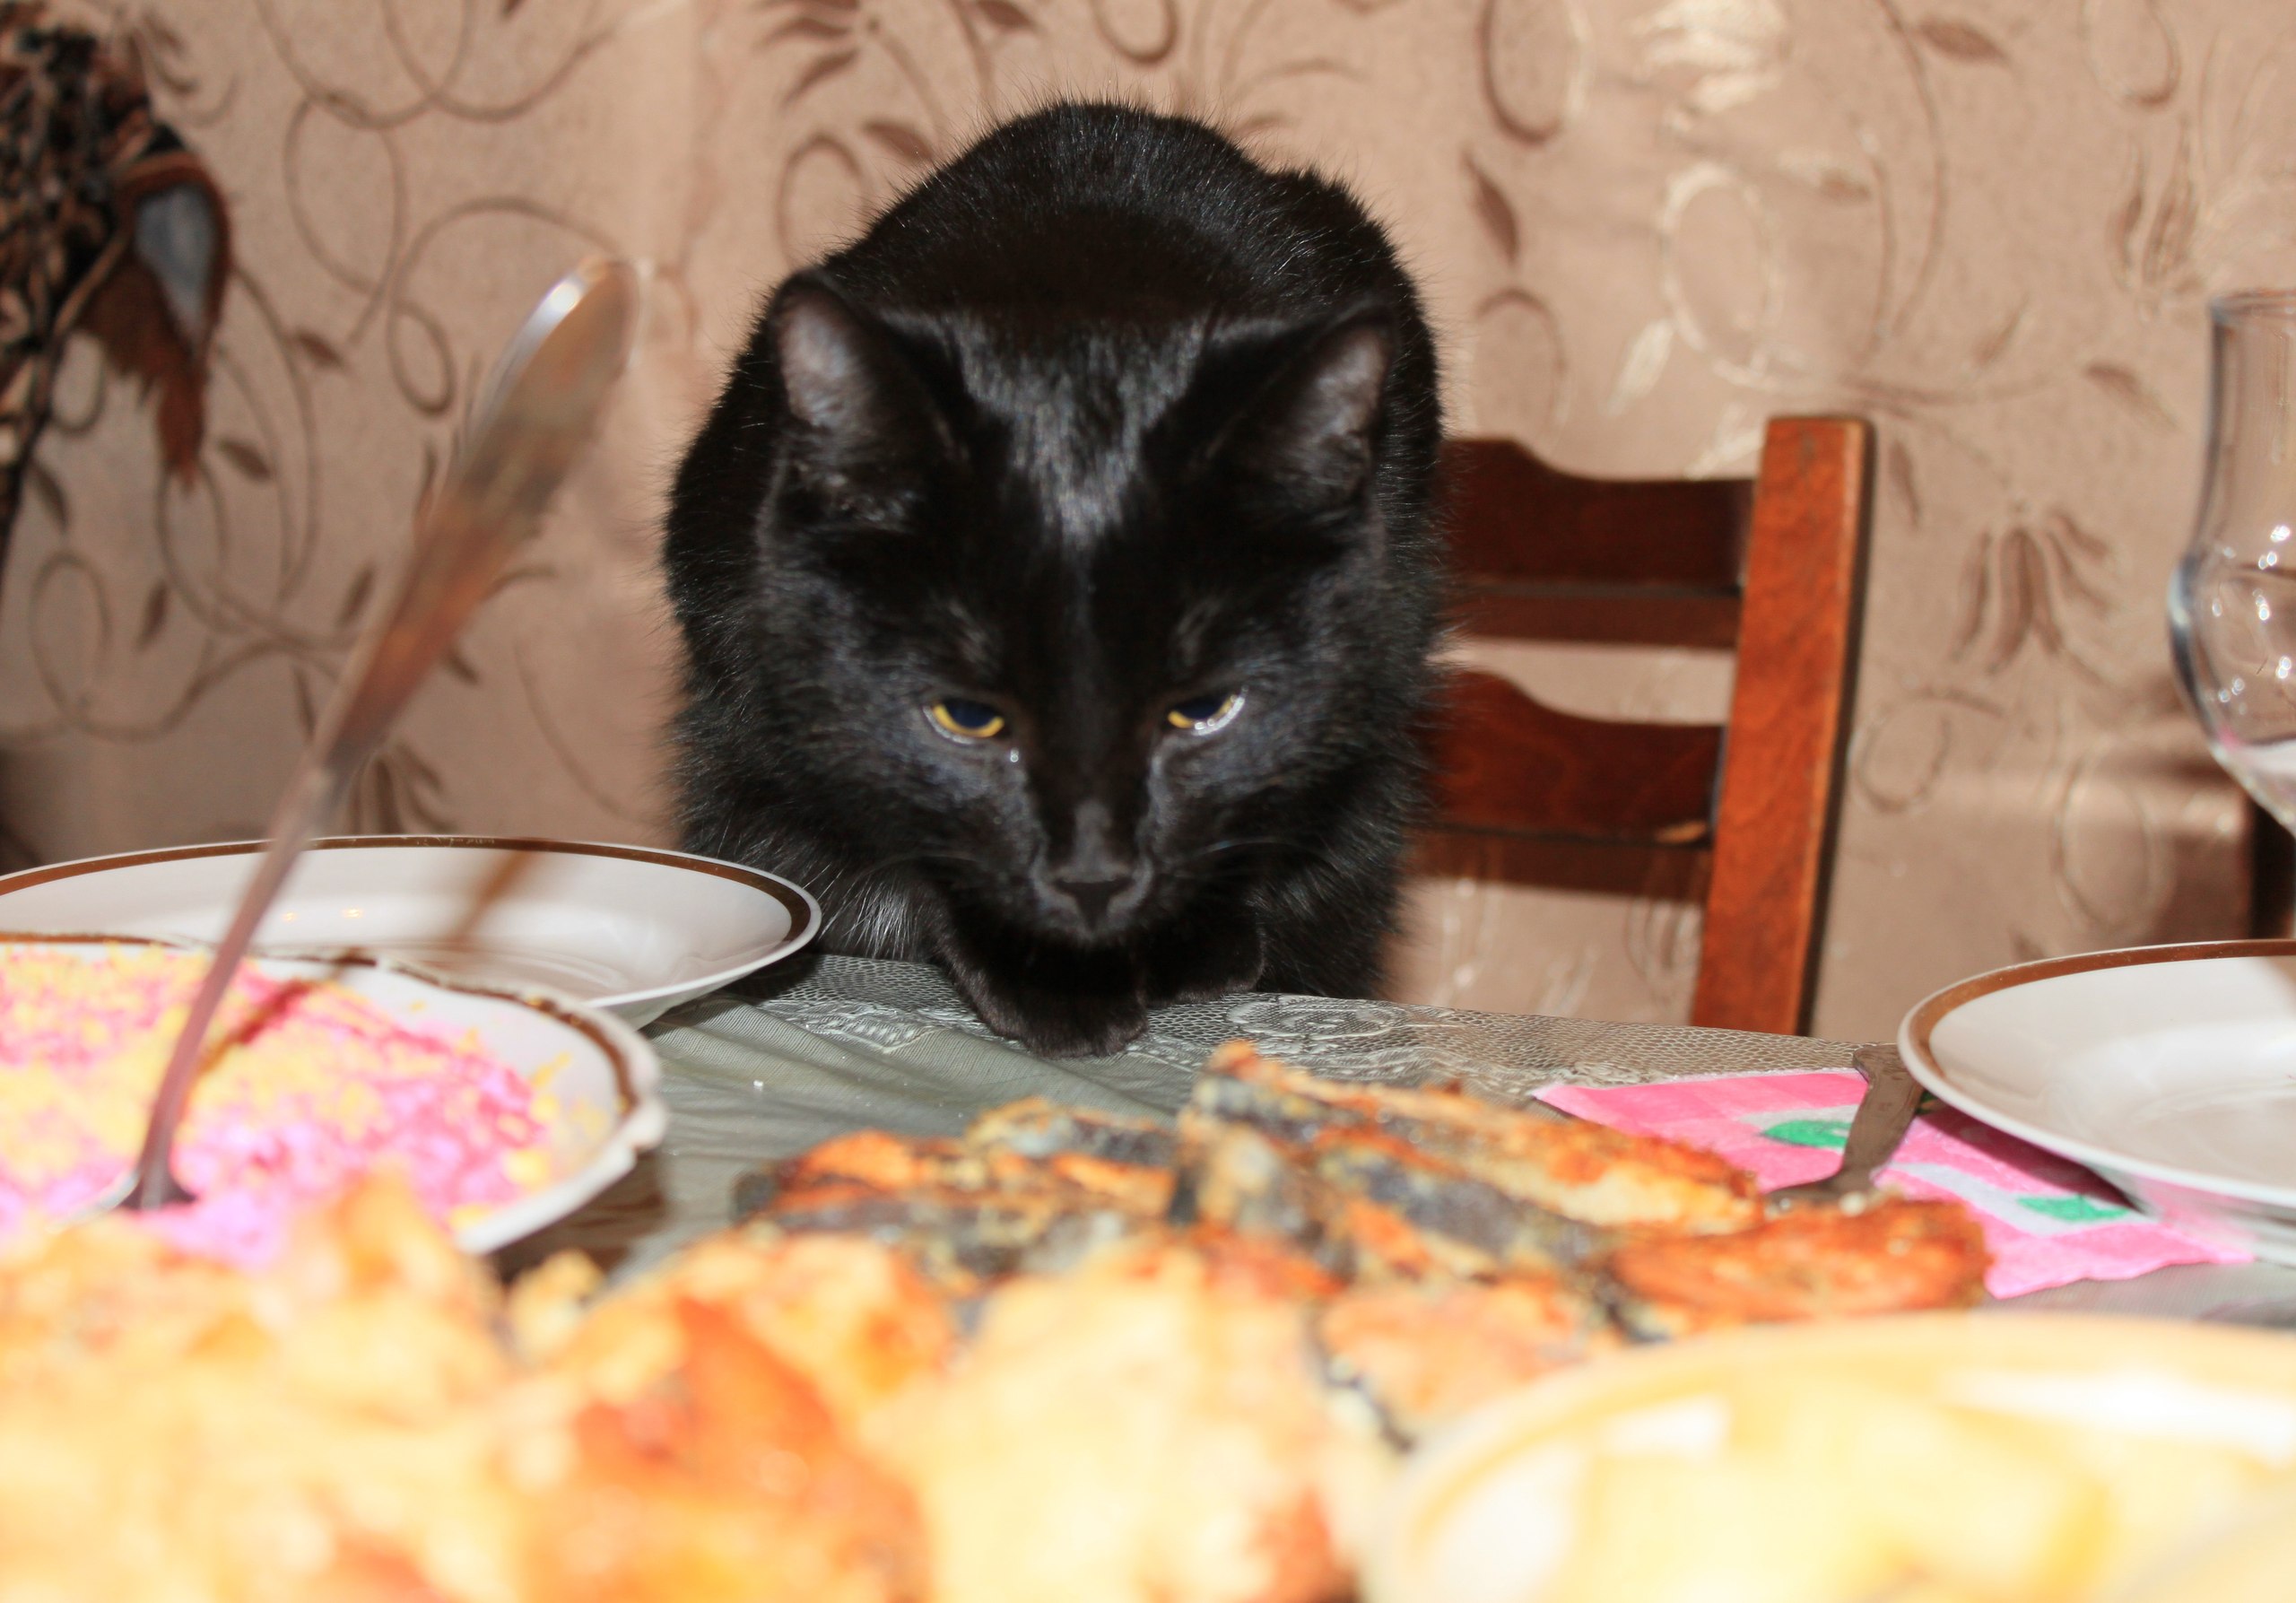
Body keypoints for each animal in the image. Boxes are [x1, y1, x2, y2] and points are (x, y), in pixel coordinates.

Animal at [664, 101, 1444, 1058]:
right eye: (967, 717)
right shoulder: (743, 627)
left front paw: (1185, 937)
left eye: (1203, 710)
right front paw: (1050, 976)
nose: (1094, 880)